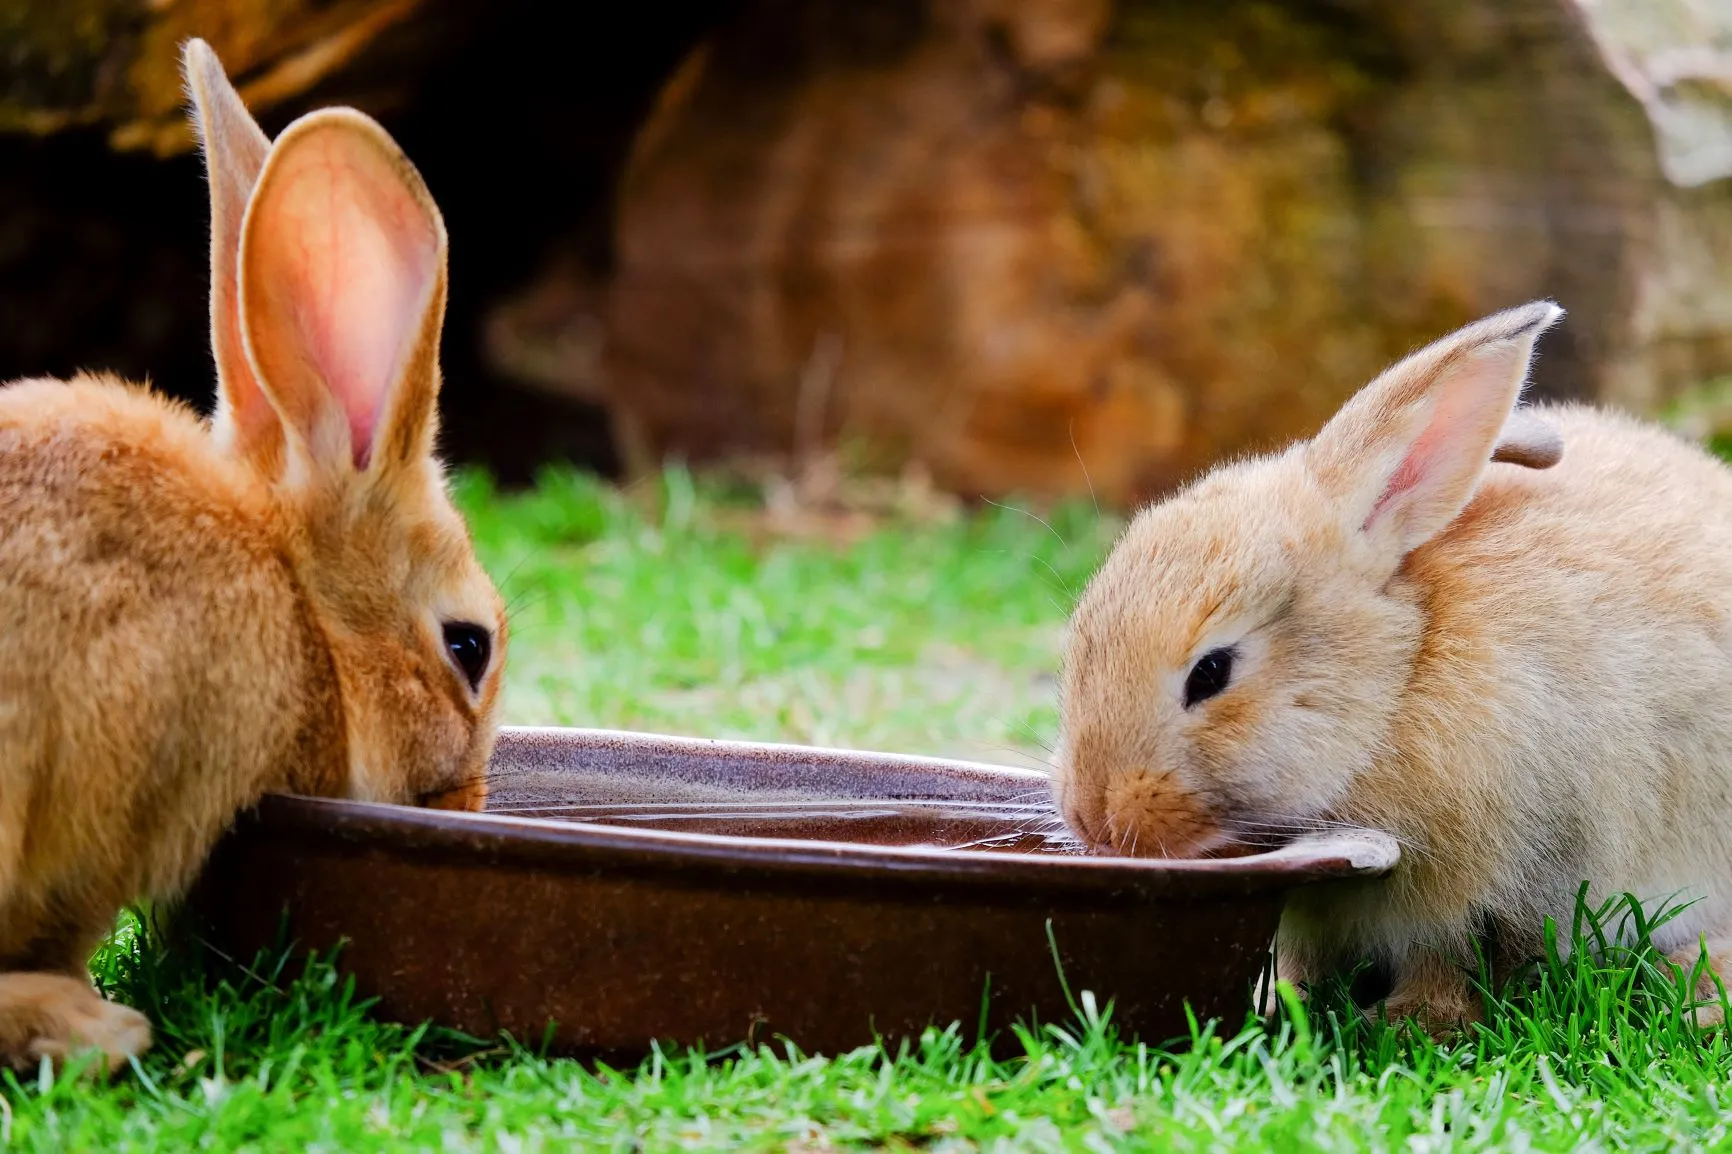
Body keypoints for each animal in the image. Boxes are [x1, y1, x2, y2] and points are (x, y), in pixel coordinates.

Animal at [1053, 301, 1732, 1025]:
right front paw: (1289, 998)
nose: (1091, 817)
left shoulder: (1497, 886)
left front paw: (1415, 1022)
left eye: (1211, 672)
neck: (1397, 686)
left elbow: (1453, 959)